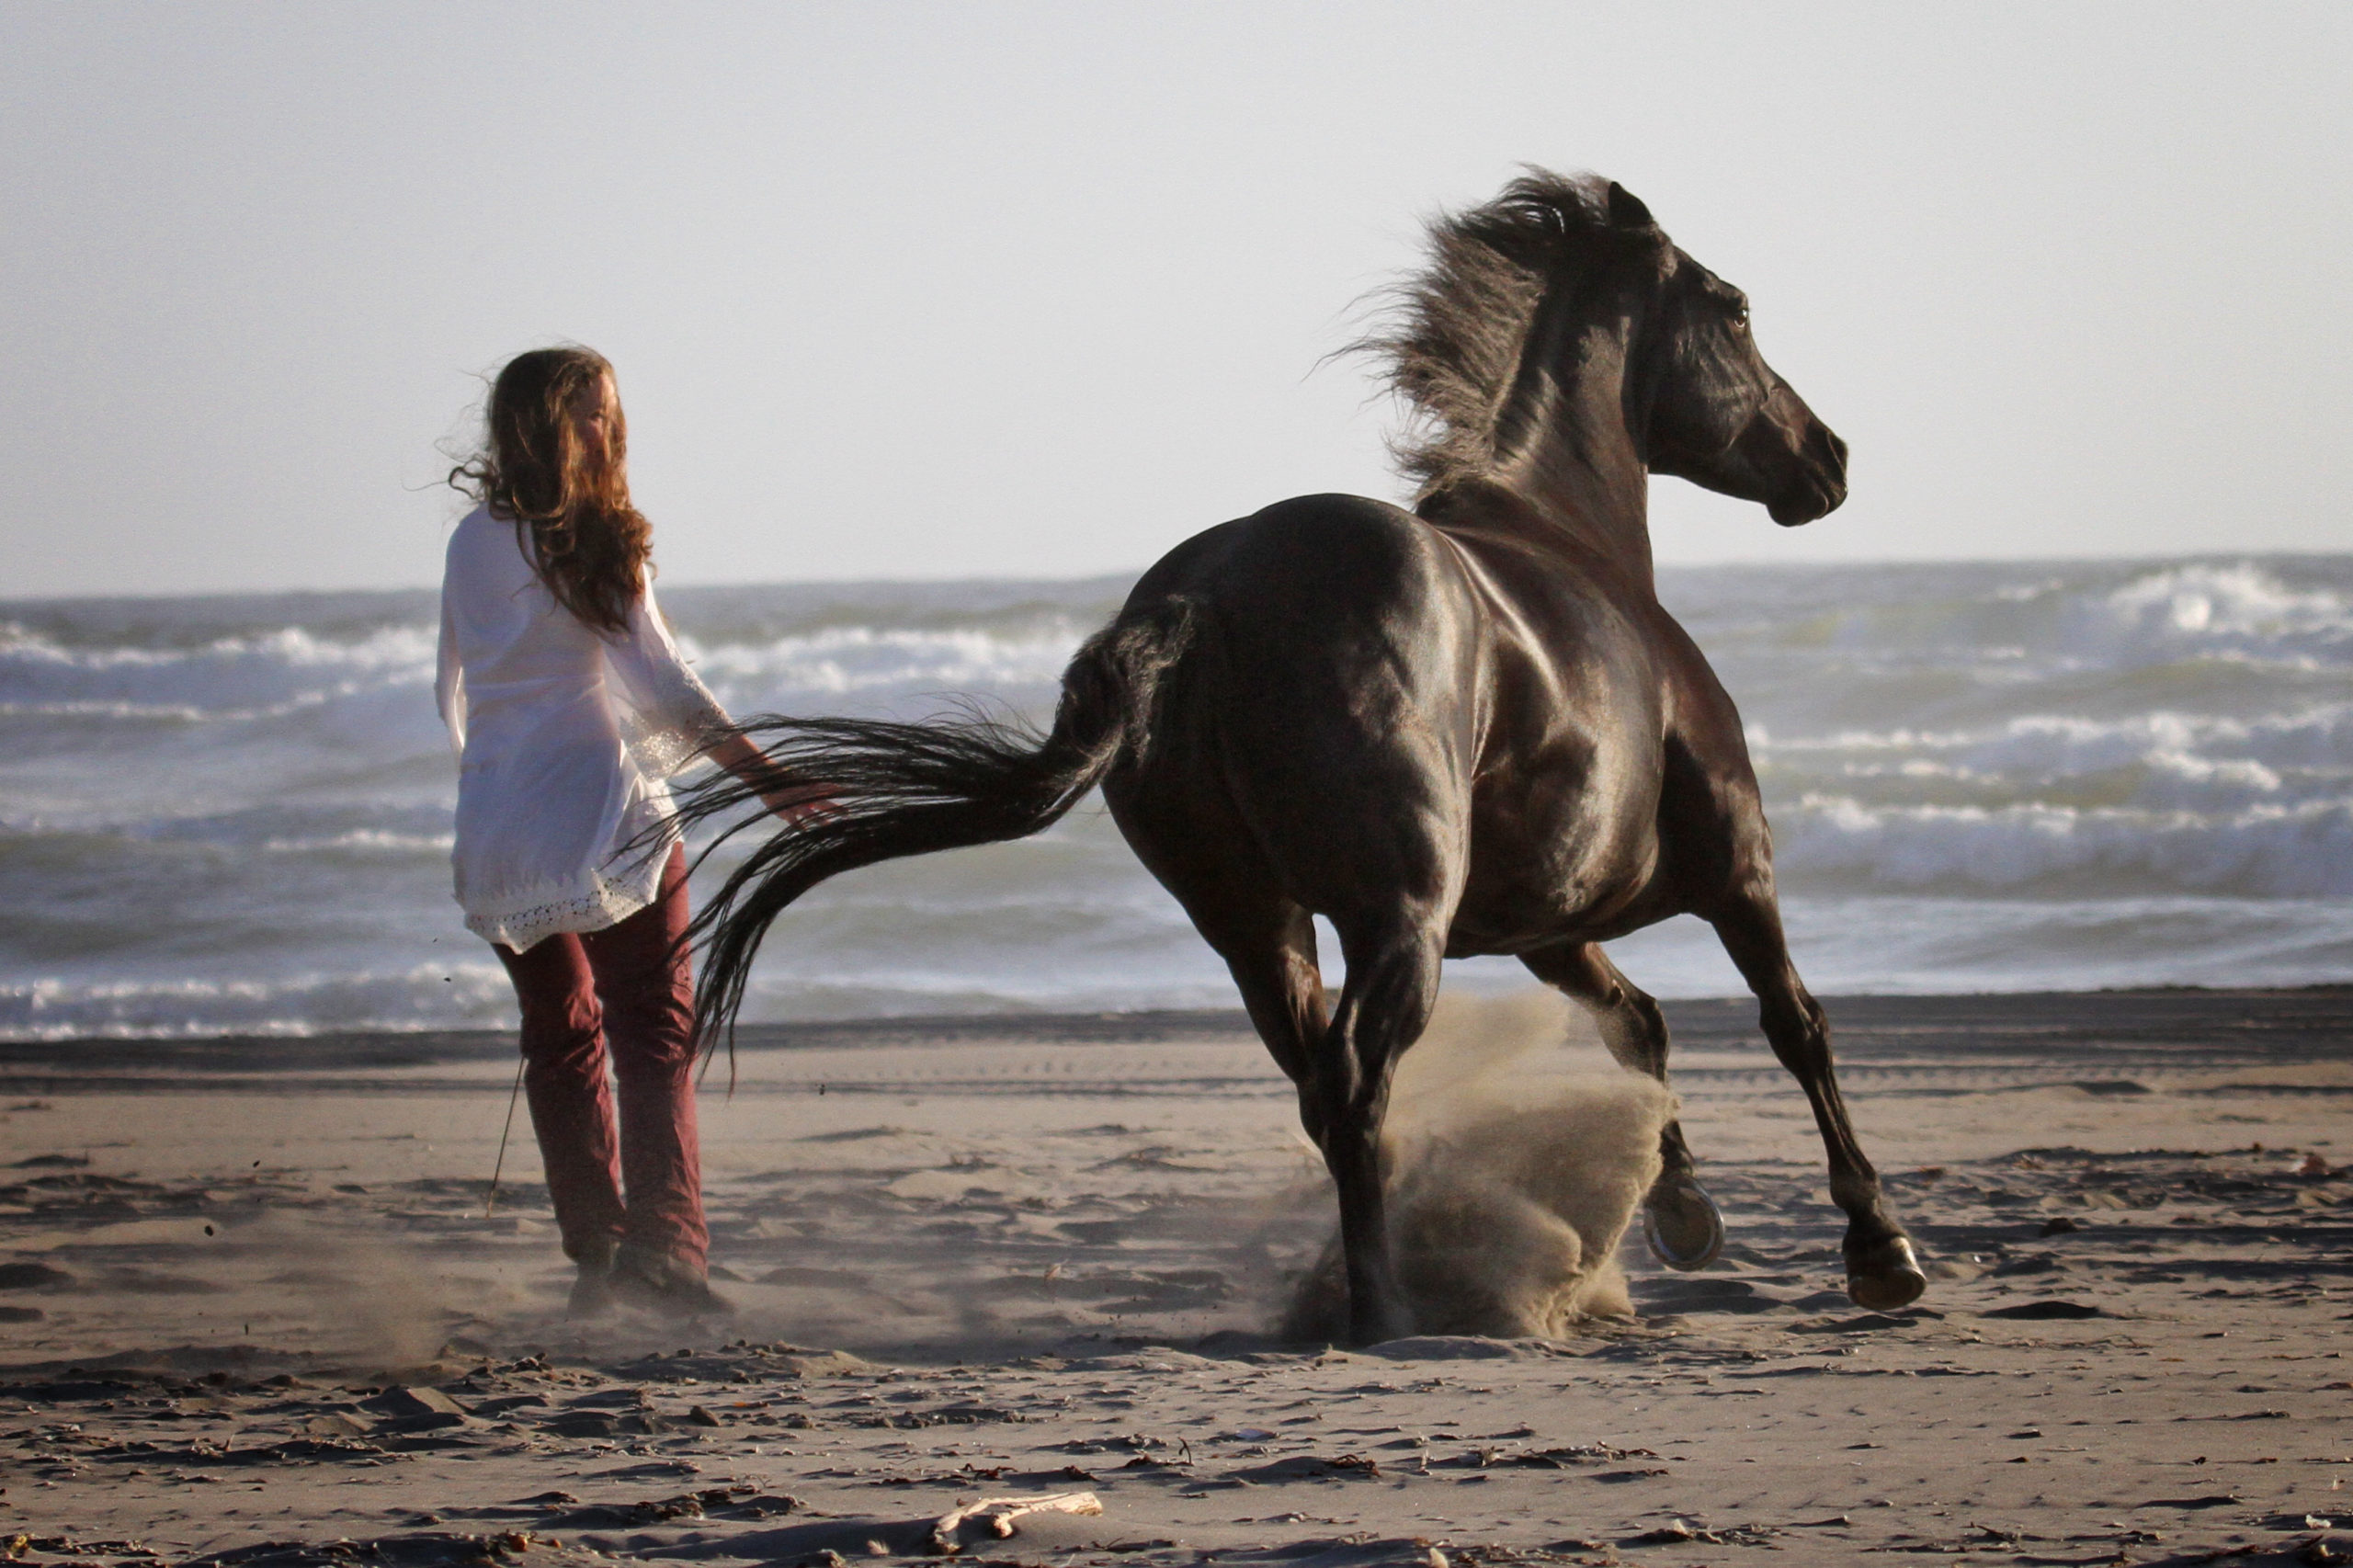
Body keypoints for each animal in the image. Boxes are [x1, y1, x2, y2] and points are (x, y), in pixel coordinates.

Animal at [680, 171, 1925, 1344]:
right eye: (1735, 307)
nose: (1826, 459)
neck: (1569, 543)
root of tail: (1201, 597)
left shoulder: (1546, 930)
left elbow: (1640, 1027)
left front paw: (1683, 1212)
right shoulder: (1734, 868)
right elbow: (1793, 1023)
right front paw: (1879, 1247)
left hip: (1254, 924)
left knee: (1322, 1090)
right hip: (1396, 920)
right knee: (1355, 1078)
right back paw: (1384, 1310)